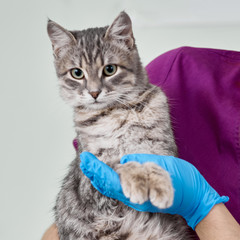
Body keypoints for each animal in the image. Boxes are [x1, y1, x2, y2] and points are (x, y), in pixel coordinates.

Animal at [47, 11, 197, 240]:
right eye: (77, 73)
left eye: (110, 69)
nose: (94, 92)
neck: (118, 112)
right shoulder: (91, 173)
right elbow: (119, 162)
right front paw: (137, 180)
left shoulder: (163, 147)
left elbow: (155, 163)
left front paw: (161, 186)